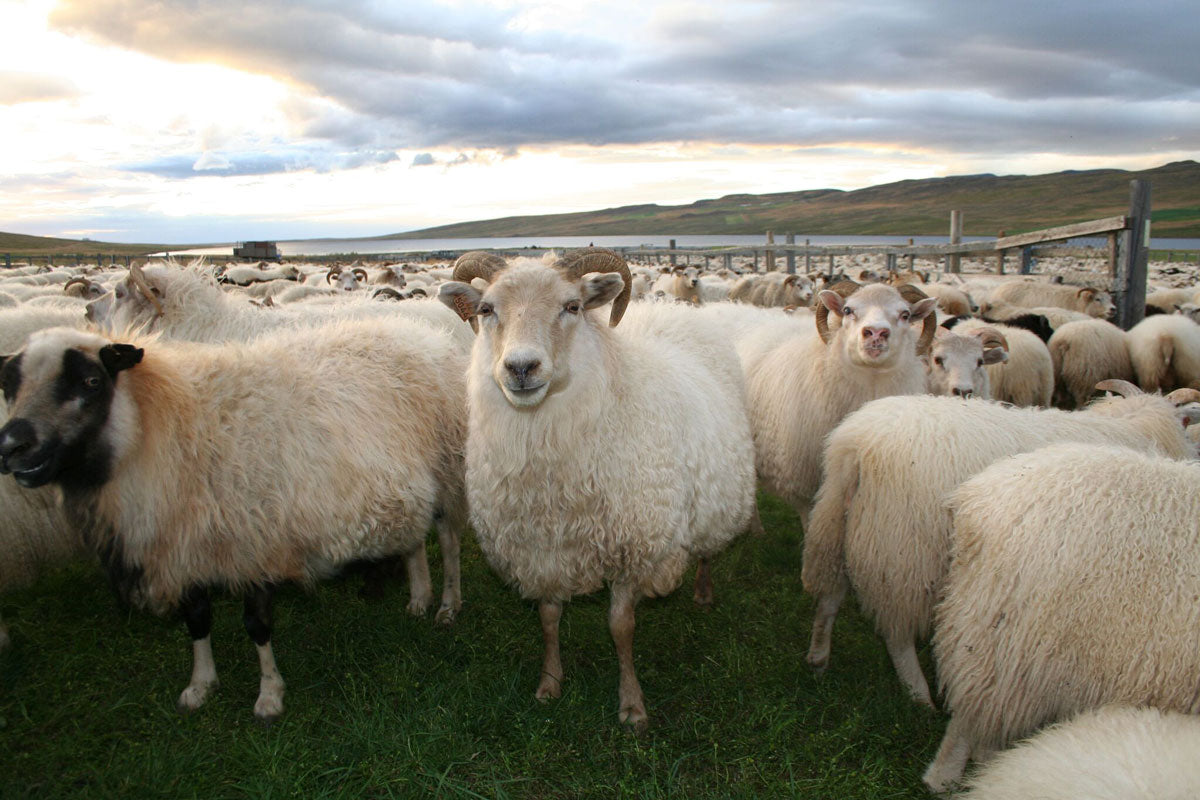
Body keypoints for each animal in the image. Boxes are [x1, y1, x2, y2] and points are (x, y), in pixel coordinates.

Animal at [0, 319, 467, 720]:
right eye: (9, 385)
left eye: (91, 382)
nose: (12, 446)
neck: (160, 429)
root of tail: (419, 333)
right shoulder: (187, 550)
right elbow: (197, 621)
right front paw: (200, 685)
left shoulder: (254, 543)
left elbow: (256, 626)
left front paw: (269, 695)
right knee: (412, 539)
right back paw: (419, 598)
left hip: (447, 472)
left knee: (448, 542)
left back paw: (447, 606)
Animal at [436, 249, 756, 730]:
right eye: (487, 309)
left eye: (572, 306)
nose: (521, 368)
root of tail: (673, 310)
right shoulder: (542, 548)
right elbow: (548, 618)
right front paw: (549, 683)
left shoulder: (632, 546)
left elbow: (621, 628)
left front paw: (632, 705)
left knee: (706, 546)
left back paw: (702, 589)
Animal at [802, 382, 1200, 709]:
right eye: (1186, 423)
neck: (1136, 425)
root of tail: (855, 446)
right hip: (903, 551)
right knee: (896, 634)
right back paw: (920, 696)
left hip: (836, 525)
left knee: (830, 597)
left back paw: (819, 658)